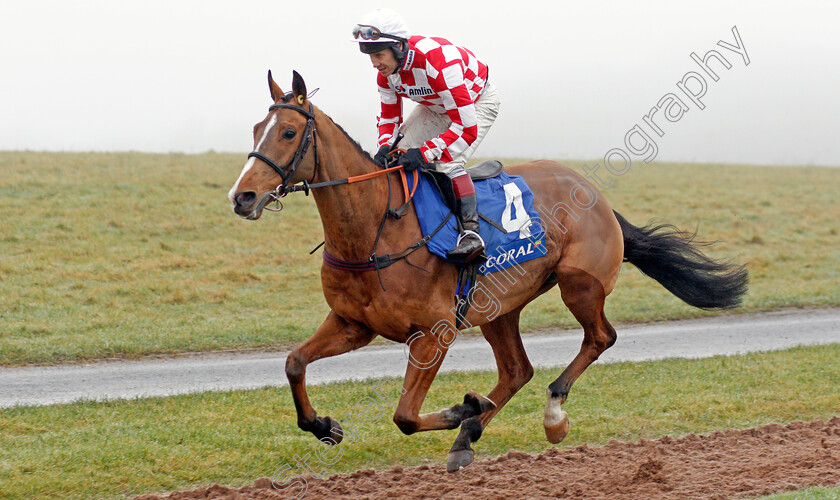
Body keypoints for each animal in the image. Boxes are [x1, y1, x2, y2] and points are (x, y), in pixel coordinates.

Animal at [225, 70, 748, 472]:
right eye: (255, 129)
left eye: (288, 133)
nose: (242, 197)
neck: (375, 228)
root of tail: (597, 195)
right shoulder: (353, 323)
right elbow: (294, 362)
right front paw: (324, 426)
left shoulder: (433, 333)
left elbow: (405, 416)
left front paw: (463, 407)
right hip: (499, 306)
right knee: (518, 370)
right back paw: (468, 438)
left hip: (580, 284)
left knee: (600, 338)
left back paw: (549, 416)